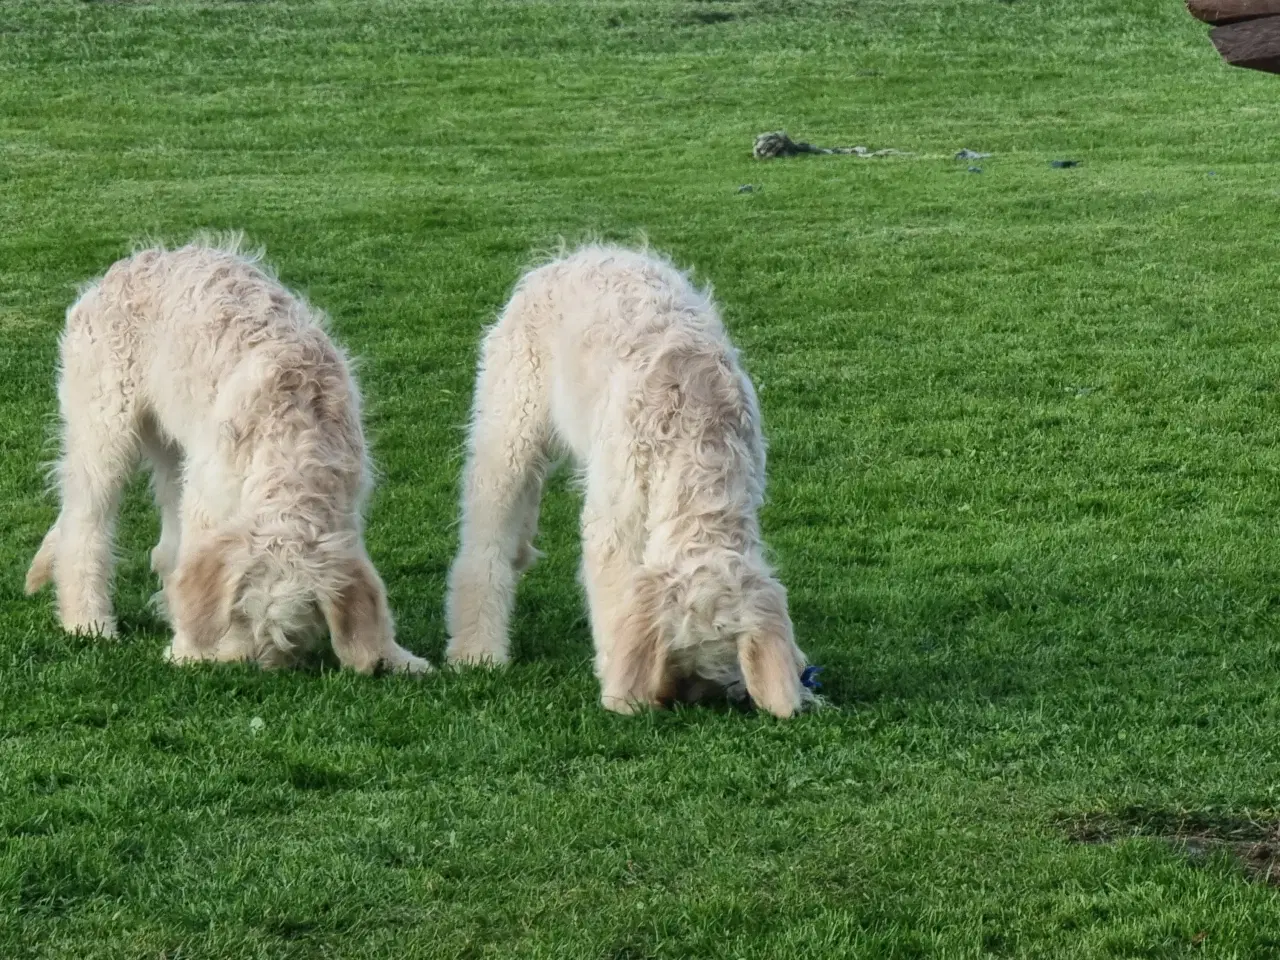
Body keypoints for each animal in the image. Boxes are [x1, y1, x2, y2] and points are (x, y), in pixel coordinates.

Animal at [23, 239, 430, 675]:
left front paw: (396, 655)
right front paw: (187, 650)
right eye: (238, 614)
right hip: (104, 433)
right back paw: (89, 621)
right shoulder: (210, 499)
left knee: (164, 545)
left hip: (175, 450)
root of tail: (129, 264)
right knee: (83, 527)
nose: (241, 665)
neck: (291, 449)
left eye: (289, 636)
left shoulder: (345, 509)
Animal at [448, 244, 808, 716]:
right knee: (486, 541)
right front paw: (618, 680)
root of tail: (565, 258)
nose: (674, 701)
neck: (699, 440)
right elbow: (615, 594)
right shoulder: (614, 521)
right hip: (509, 429)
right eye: (679, 660)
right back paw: (477, 650)